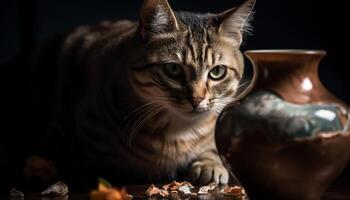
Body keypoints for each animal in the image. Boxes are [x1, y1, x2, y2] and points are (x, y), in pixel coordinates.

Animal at [30, 0, 254, 186]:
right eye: (173, 69)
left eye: (217, 72)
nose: (197, 99)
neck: (179, 133)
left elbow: (213, 147)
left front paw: (210, 163)